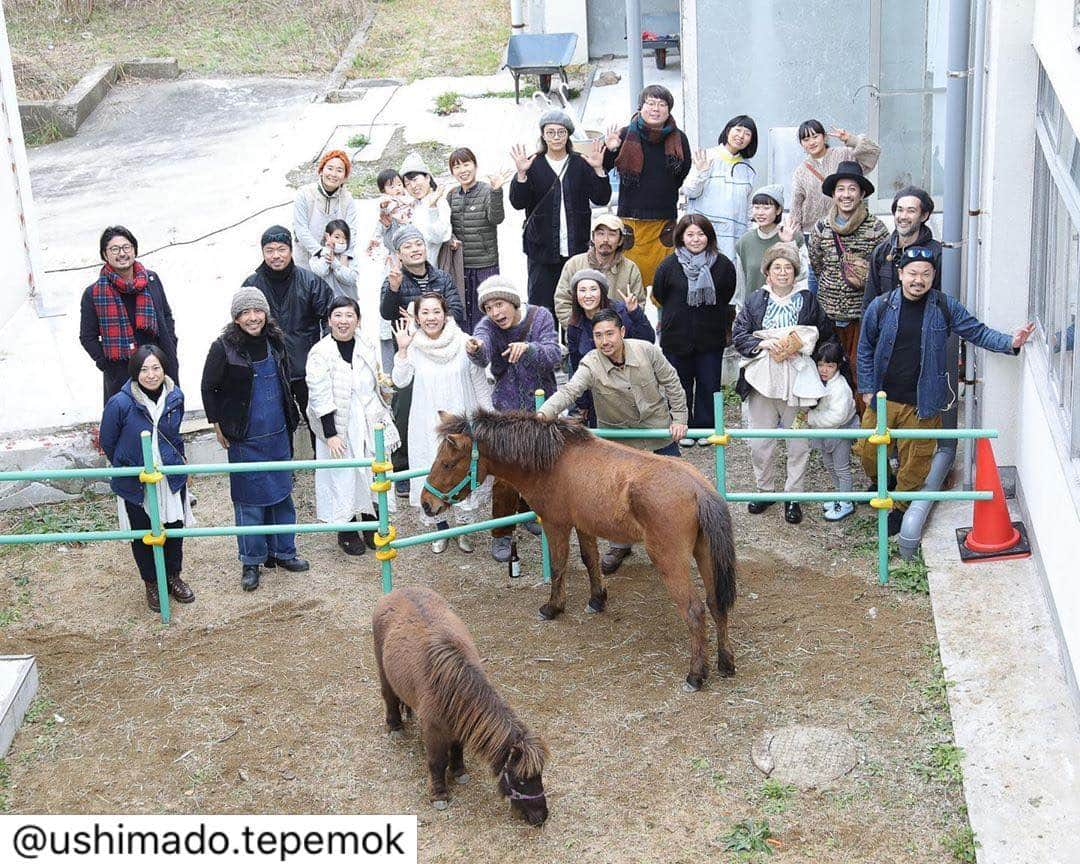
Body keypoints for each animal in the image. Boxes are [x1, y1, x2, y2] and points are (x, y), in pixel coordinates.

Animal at [375, 587, 552, 825]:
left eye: (539, 775)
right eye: (521, 780)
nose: (541, 817)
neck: (452, 686)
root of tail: (397, 591)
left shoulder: (460, 723)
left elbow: (458, 748)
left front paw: (459, 772)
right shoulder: (434, 730)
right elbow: (437, 762)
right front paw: (439, 795)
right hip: (383, 669)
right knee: (389, 697)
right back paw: (395, 727)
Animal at [416, 408, 738, 691]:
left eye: (447, 464)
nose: (426, 504)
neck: (554, 461)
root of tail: (699, 489)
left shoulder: (556, 524)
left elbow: (559, 565)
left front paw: (553, 607)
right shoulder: (584, 525)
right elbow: (590, 560)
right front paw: (597, 600)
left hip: (671, 561)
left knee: (695, 611)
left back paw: (696, 675)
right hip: (705, 555)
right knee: (716, 603)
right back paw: (725, 662)